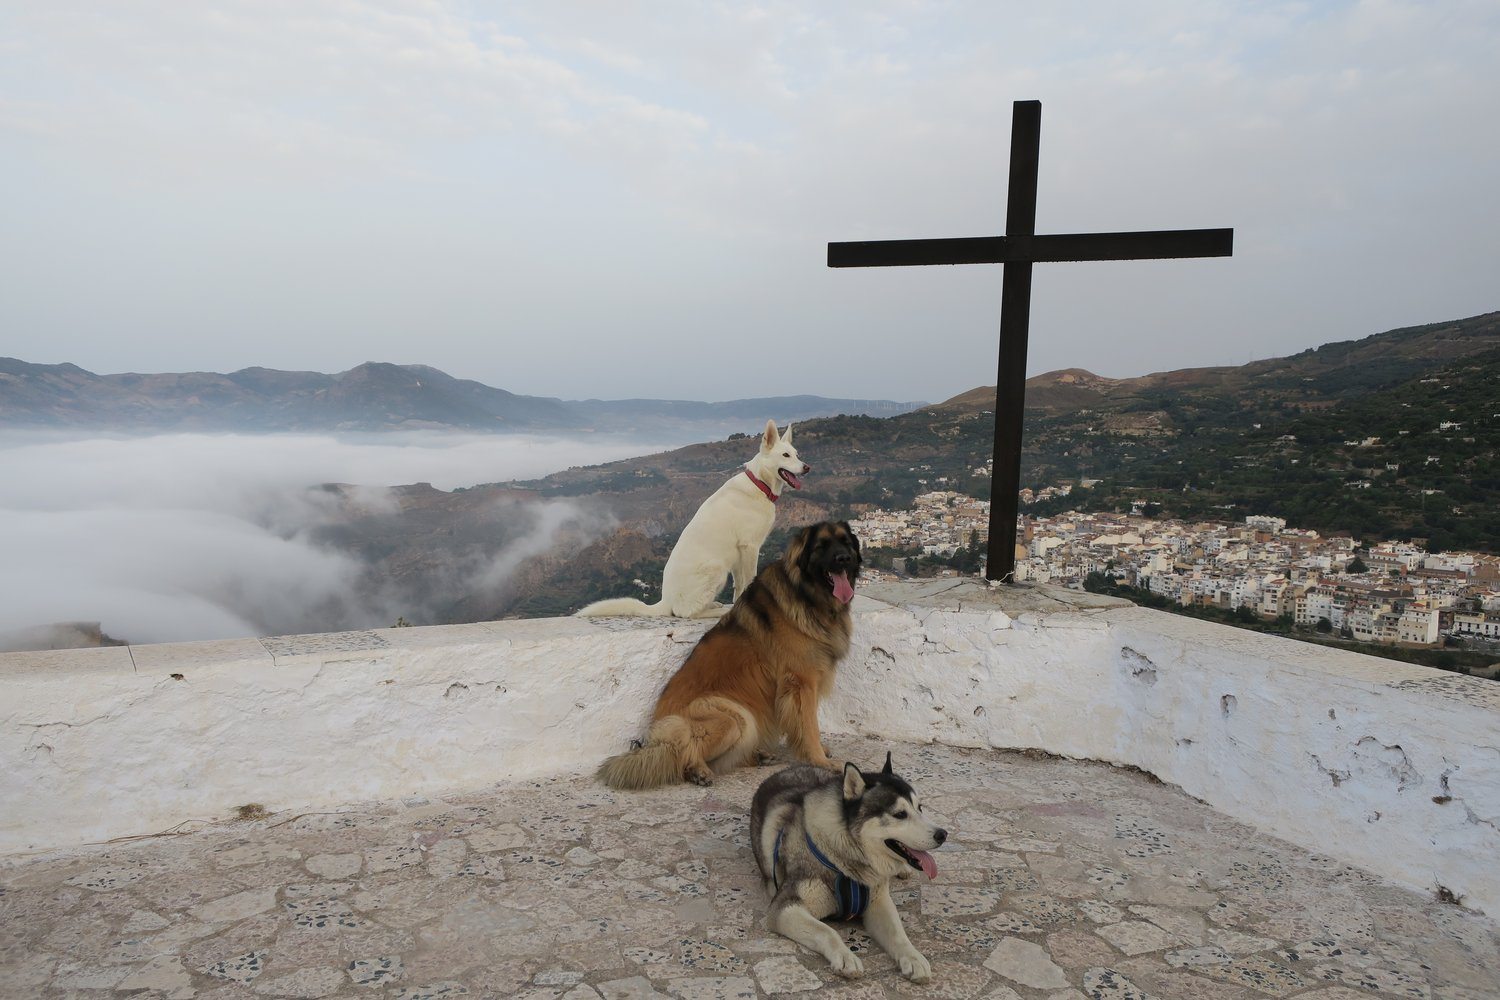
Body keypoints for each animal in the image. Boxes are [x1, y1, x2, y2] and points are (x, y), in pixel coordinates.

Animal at [573, 416, 810, 617]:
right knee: (687, 613)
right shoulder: (750, 548)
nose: (807, 467)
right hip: (716, 568)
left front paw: (738, 604)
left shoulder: (738, 554)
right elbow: (748, 579)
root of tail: (665, 600)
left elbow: (739, 586)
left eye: (797, 454)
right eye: (786, 455)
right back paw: (716, 611)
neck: (759, 483)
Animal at [594, 524, 864, 791]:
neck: (808, 595)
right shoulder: (801, 682)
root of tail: (657, 734)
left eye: (846, 543)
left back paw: (758, 756)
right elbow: (809, 726)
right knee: (681, 751)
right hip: (732, 718)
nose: (844, 558)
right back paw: (697, 770)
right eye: (822, 546)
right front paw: (819, 760)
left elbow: (806, 724)